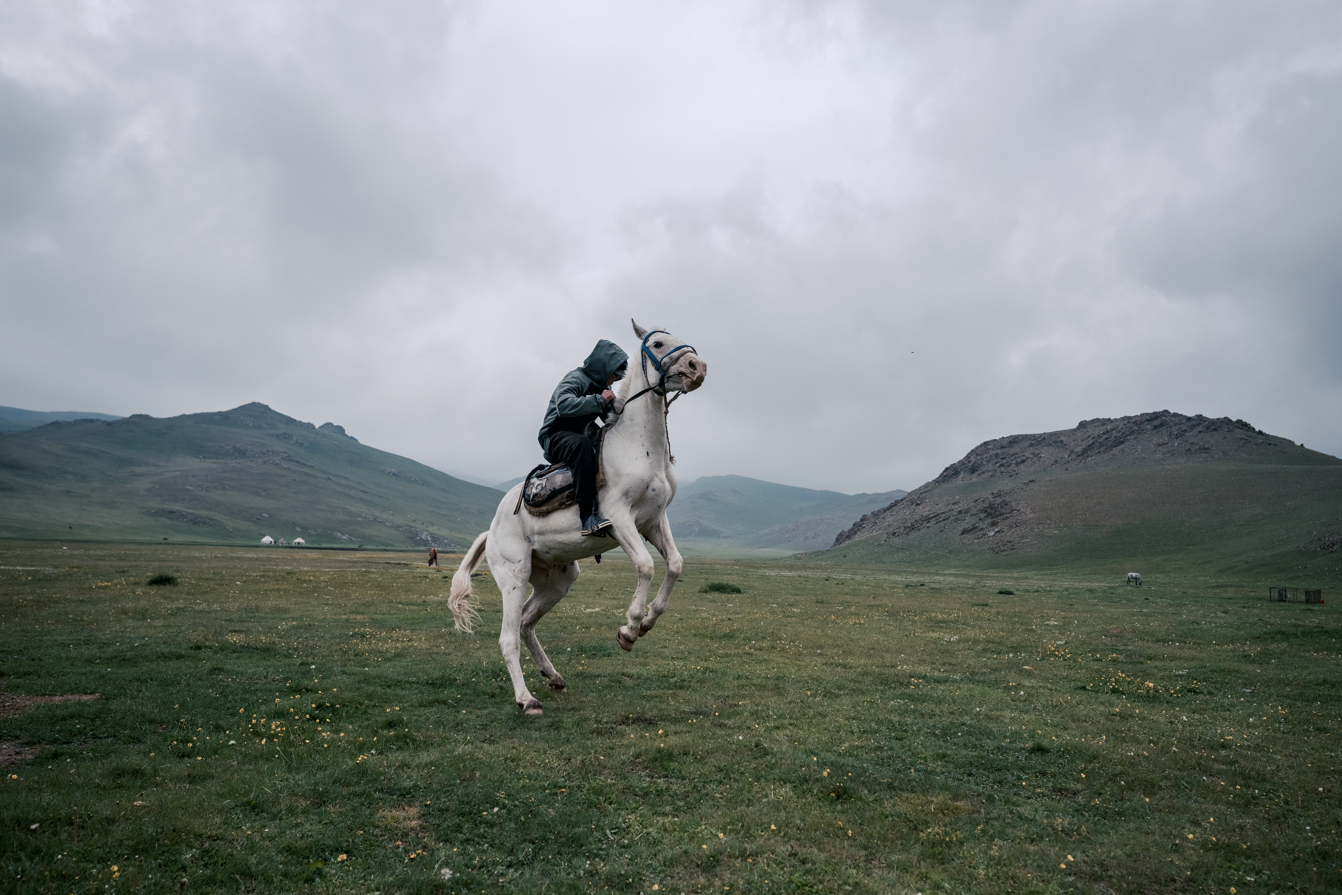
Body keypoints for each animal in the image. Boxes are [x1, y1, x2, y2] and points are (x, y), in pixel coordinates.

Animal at [448, 320, 707, 715]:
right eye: (659, 344)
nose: (698, 367)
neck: (638, 446)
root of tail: (490, 531)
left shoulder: (652, 522)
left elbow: (675, 565)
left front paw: (646, 623)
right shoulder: (619, 519)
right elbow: (646, 566)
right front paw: (629, 629)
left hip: (556, 580)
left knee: (526, 624)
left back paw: (553, 676)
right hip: (514, 576)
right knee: (508, 637)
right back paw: (527, 699)